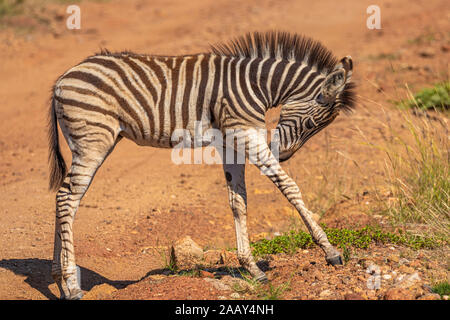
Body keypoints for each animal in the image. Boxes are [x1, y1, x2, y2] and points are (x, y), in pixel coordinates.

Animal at [48, 31, 356, 298]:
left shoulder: (230, 141)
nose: (284, 156)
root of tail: (63, 77)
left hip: (94, 142)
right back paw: (72, 286)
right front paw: (330, 251)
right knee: (67, 198)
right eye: (312, 124)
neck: (255, 85)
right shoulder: (245, 132)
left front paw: (252, 268)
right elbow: (289, 187)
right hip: (93, 142)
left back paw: (60, 281)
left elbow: (238, 201)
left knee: (65, 198)